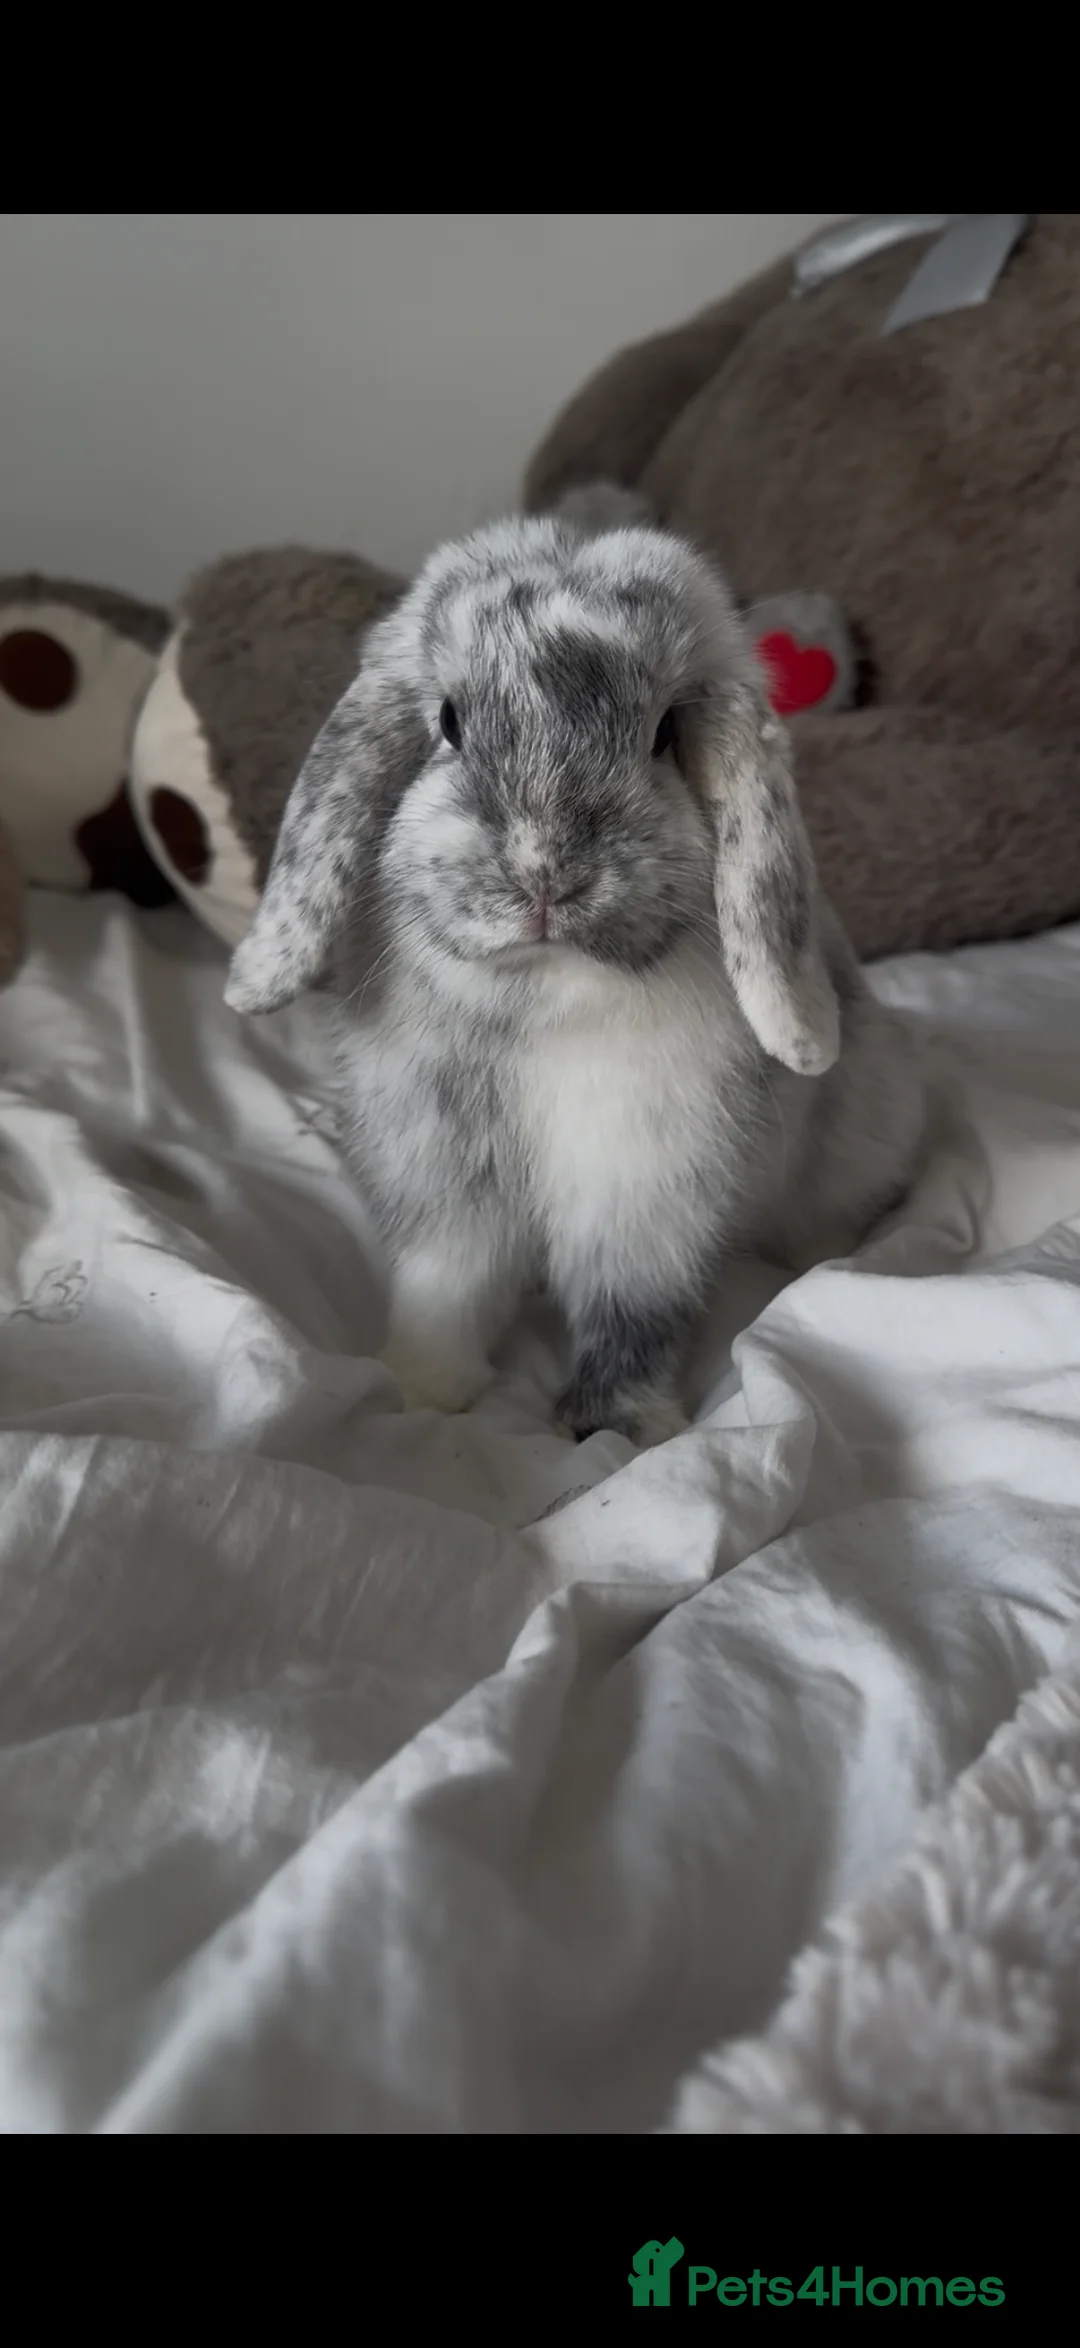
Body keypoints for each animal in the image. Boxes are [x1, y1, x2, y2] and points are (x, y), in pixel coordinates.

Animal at [225, 512, 925, 1446]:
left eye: (664, 734)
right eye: (449, 721)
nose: (543, 874)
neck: (536, 1002)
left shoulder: (637, 1189)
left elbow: (629, 1312)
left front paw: (619, 1431)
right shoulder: (448, 1184)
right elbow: (445, 1289)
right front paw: (422, 1390)